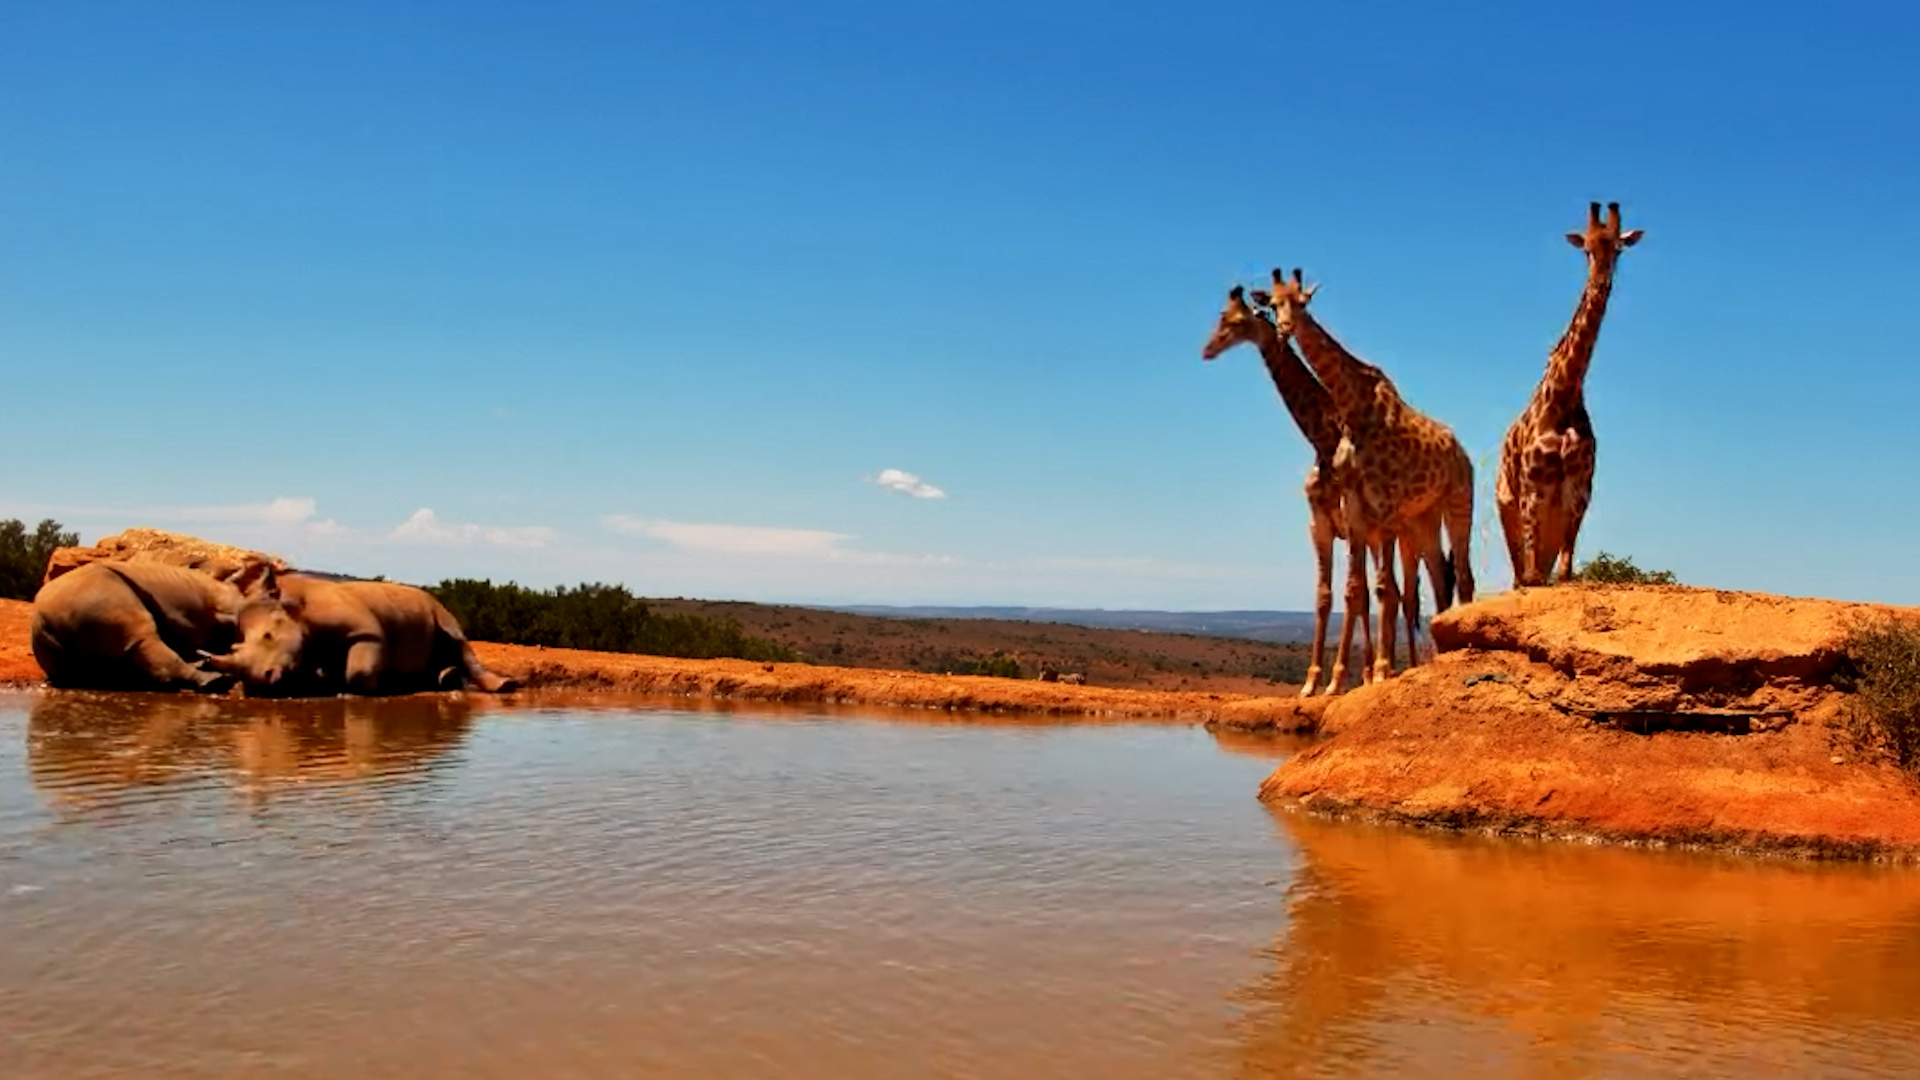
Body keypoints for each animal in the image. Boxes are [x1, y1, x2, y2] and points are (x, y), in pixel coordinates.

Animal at [29, 560, 301, 692]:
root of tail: (40, 616)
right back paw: (213, 681)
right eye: (268, 636)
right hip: (98, 592)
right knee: (142, 634)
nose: (267, 678)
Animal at [205, 568, 517, 696]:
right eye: (234, 647)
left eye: (268, 636)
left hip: (439, 608)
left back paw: (502, 687)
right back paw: (442, 679)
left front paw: (382, 685)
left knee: (457, 639)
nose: (257, 684)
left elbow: (358, 671)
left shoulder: (368, 633)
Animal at [1263, 268, 1476, 690]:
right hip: (1424, 518)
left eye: (1303, 302)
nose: (1284, 329)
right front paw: (1360, 675)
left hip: (1459, 501)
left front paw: (1378, 672)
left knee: (1460, 574)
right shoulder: (1357, 509)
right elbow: (1360, 589)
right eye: (1275, 304)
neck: (1352, 406)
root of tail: (1463, 452)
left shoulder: (1385, 507)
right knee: (1438, 579)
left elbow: (1381, 589)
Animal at [1497, 202, 1644, 586]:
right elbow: (1533, 576)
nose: (1602, 284)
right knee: (1519, 575)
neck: (1563, 398)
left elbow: (1564, 573)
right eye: (1587, 251)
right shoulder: (1532, 489)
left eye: (1618, 250)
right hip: (1505, 505)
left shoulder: (1579, 491)